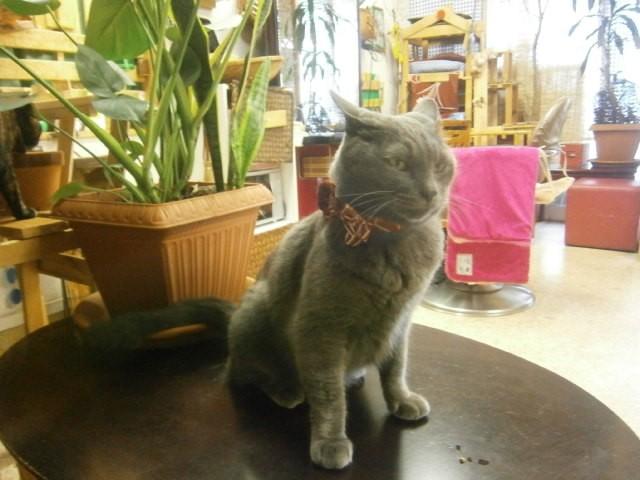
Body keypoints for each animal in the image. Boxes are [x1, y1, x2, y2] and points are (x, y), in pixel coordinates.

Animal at [81, 92, 455, 470]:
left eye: (440, 165)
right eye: (397, 163)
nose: (430, 192)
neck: (395, 242)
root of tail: (234, 312)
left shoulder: (401, 323)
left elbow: (395, 368)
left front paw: (402, 401)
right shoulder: (320, 329)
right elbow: (328, 394)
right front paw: (330, 443)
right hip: (257, 311)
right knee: (242, 373)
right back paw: (286, 390)